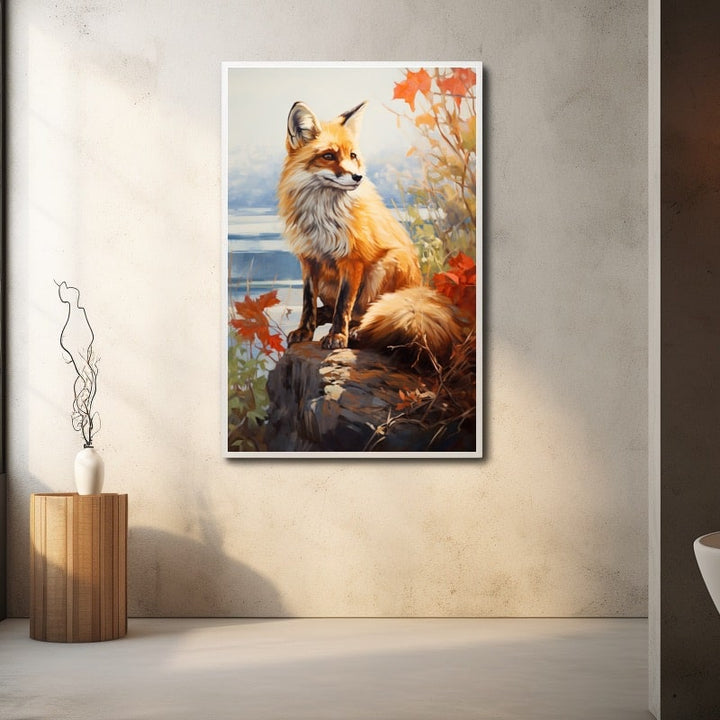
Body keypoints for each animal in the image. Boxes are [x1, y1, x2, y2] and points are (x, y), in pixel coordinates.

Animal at [277, 100, 466, 364]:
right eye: (328, 156)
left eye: (352, 155)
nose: (358, 177)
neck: (322, 217)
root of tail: (419, 289)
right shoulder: (309, 260)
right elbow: (307, 303)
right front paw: (305, 331)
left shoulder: (352, 260)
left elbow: (343, 307)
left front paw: (337, 336)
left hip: (386, 265)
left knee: (366, 315)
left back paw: (355, 331)